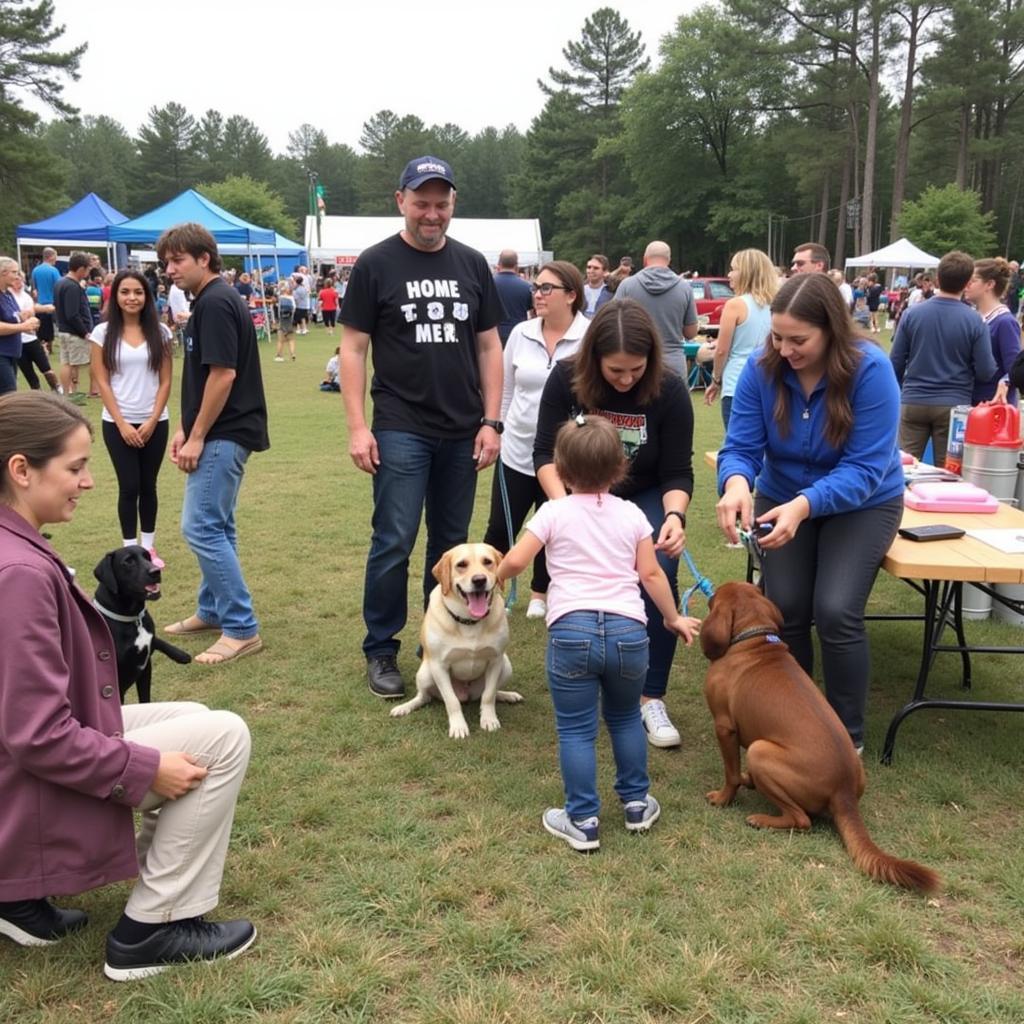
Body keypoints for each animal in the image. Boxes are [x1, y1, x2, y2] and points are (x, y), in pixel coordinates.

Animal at [92, 544, 192, 704]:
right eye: (128, 561)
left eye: (147, 557)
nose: (156, 571)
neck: (133, 618)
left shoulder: (145, 668)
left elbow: (145, 698)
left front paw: (180, 654)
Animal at [389, 544, 524, 737]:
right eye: (461, 564)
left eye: (487, 562)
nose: (479, 580)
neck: (469, 621)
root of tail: (466, 695)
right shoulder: (439, 666)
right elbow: (451, 701)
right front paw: (459, 727)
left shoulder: (495, 660)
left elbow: (489, 695)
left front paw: (489, 719)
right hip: (425, 673)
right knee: (424, 697)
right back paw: (405, 707)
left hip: (506, 665)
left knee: (488, 693)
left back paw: (507, 695)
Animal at [704, 581, 937, 892]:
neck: (753, 640)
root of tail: (844, 791)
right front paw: (742, 783)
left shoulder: (724, 728)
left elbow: (730, 774)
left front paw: (722, 798)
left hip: (759, 751)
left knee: (802, 819)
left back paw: (761, 819)